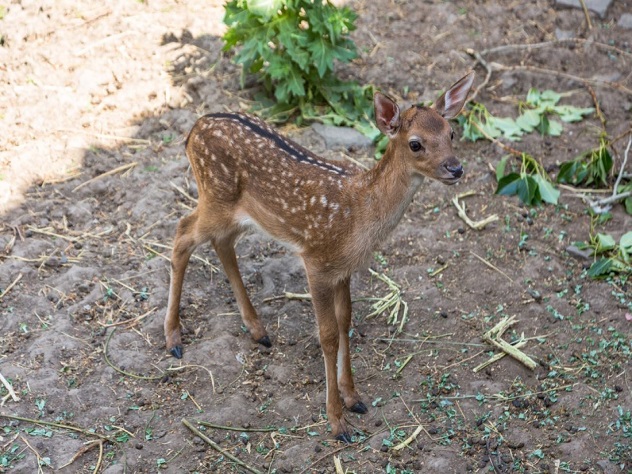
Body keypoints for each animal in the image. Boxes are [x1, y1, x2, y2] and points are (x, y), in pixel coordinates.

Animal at [164, 72, 475, 442]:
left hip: (237, 213)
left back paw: (258, 329)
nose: (455, 168)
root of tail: (193, 130)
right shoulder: (316, 260)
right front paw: (337, 421)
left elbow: (346, 323)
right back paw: (173, 338)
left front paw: (354, 397)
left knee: (221, 243)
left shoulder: (343, 269)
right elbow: (327, 335)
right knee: (182, 233)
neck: (359, 215)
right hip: (215, 197)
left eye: (451, 133)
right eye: (416, 143)